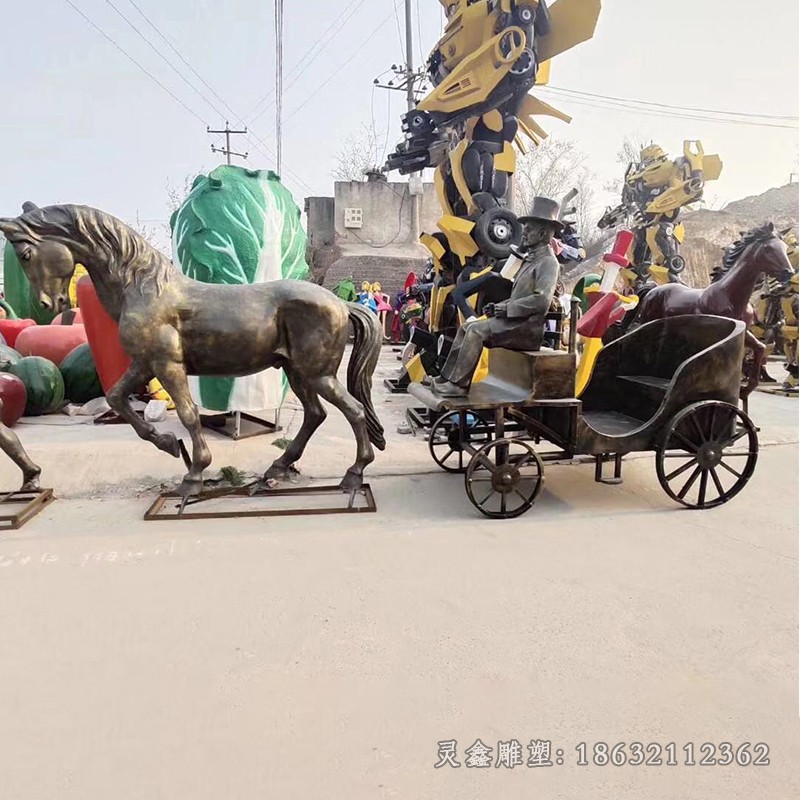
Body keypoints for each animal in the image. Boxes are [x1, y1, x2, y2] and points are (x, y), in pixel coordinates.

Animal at [412, 312, 756, 520]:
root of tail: (727, 324)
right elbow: (467, 438)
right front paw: (457, 444)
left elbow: (502, 462)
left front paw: (504, 482)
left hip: (703, 418)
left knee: (705, 449)